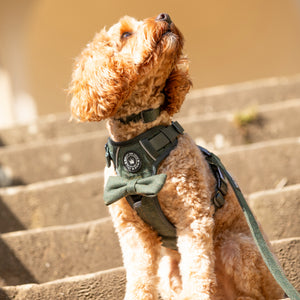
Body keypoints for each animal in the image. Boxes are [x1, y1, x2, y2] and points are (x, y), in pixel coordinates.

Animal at [69, 12, 284, 300]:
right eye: (125, 34)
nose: (164, 15)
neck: (140, 143)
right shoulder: (132, 232)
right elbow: (139, 279)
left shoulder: (192, 217)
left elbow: (198, 273)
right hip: (168, 267)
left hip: (237, 247)